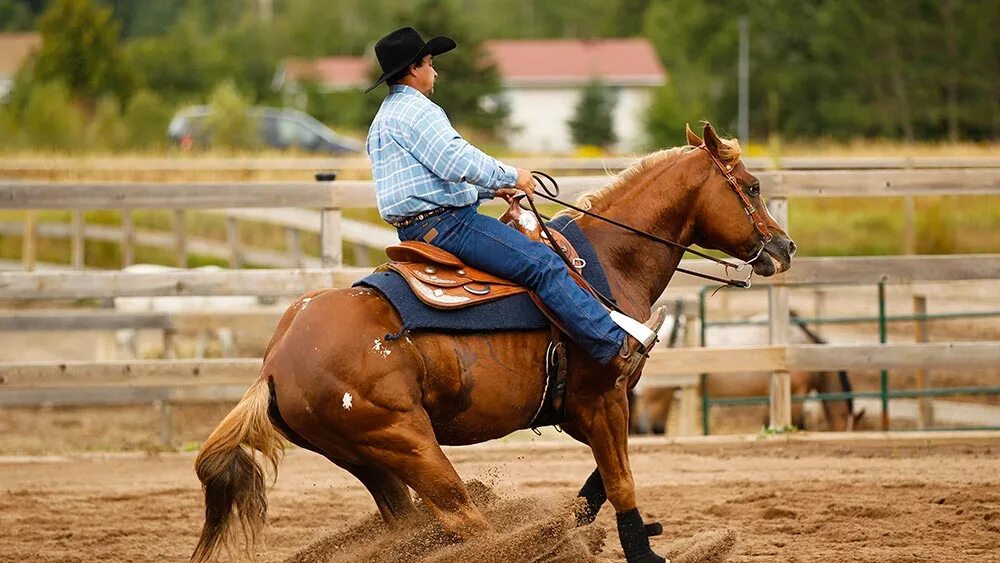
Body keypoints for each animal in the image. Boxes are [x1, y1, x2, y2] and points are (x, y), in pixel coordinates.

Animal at [189, 123, 796, 563]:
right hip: (408, 442)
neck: (606, 265)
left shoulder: (590, 406)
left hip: (367, 459)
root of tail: (273, 364)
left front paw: (582, 531)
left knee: (411, 524)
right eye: (752, 186)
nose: (785, 248)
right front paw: (638, 550)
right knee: (464, 522)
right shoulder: (601, 399)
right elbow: (620, 480)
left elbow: (596, 486)